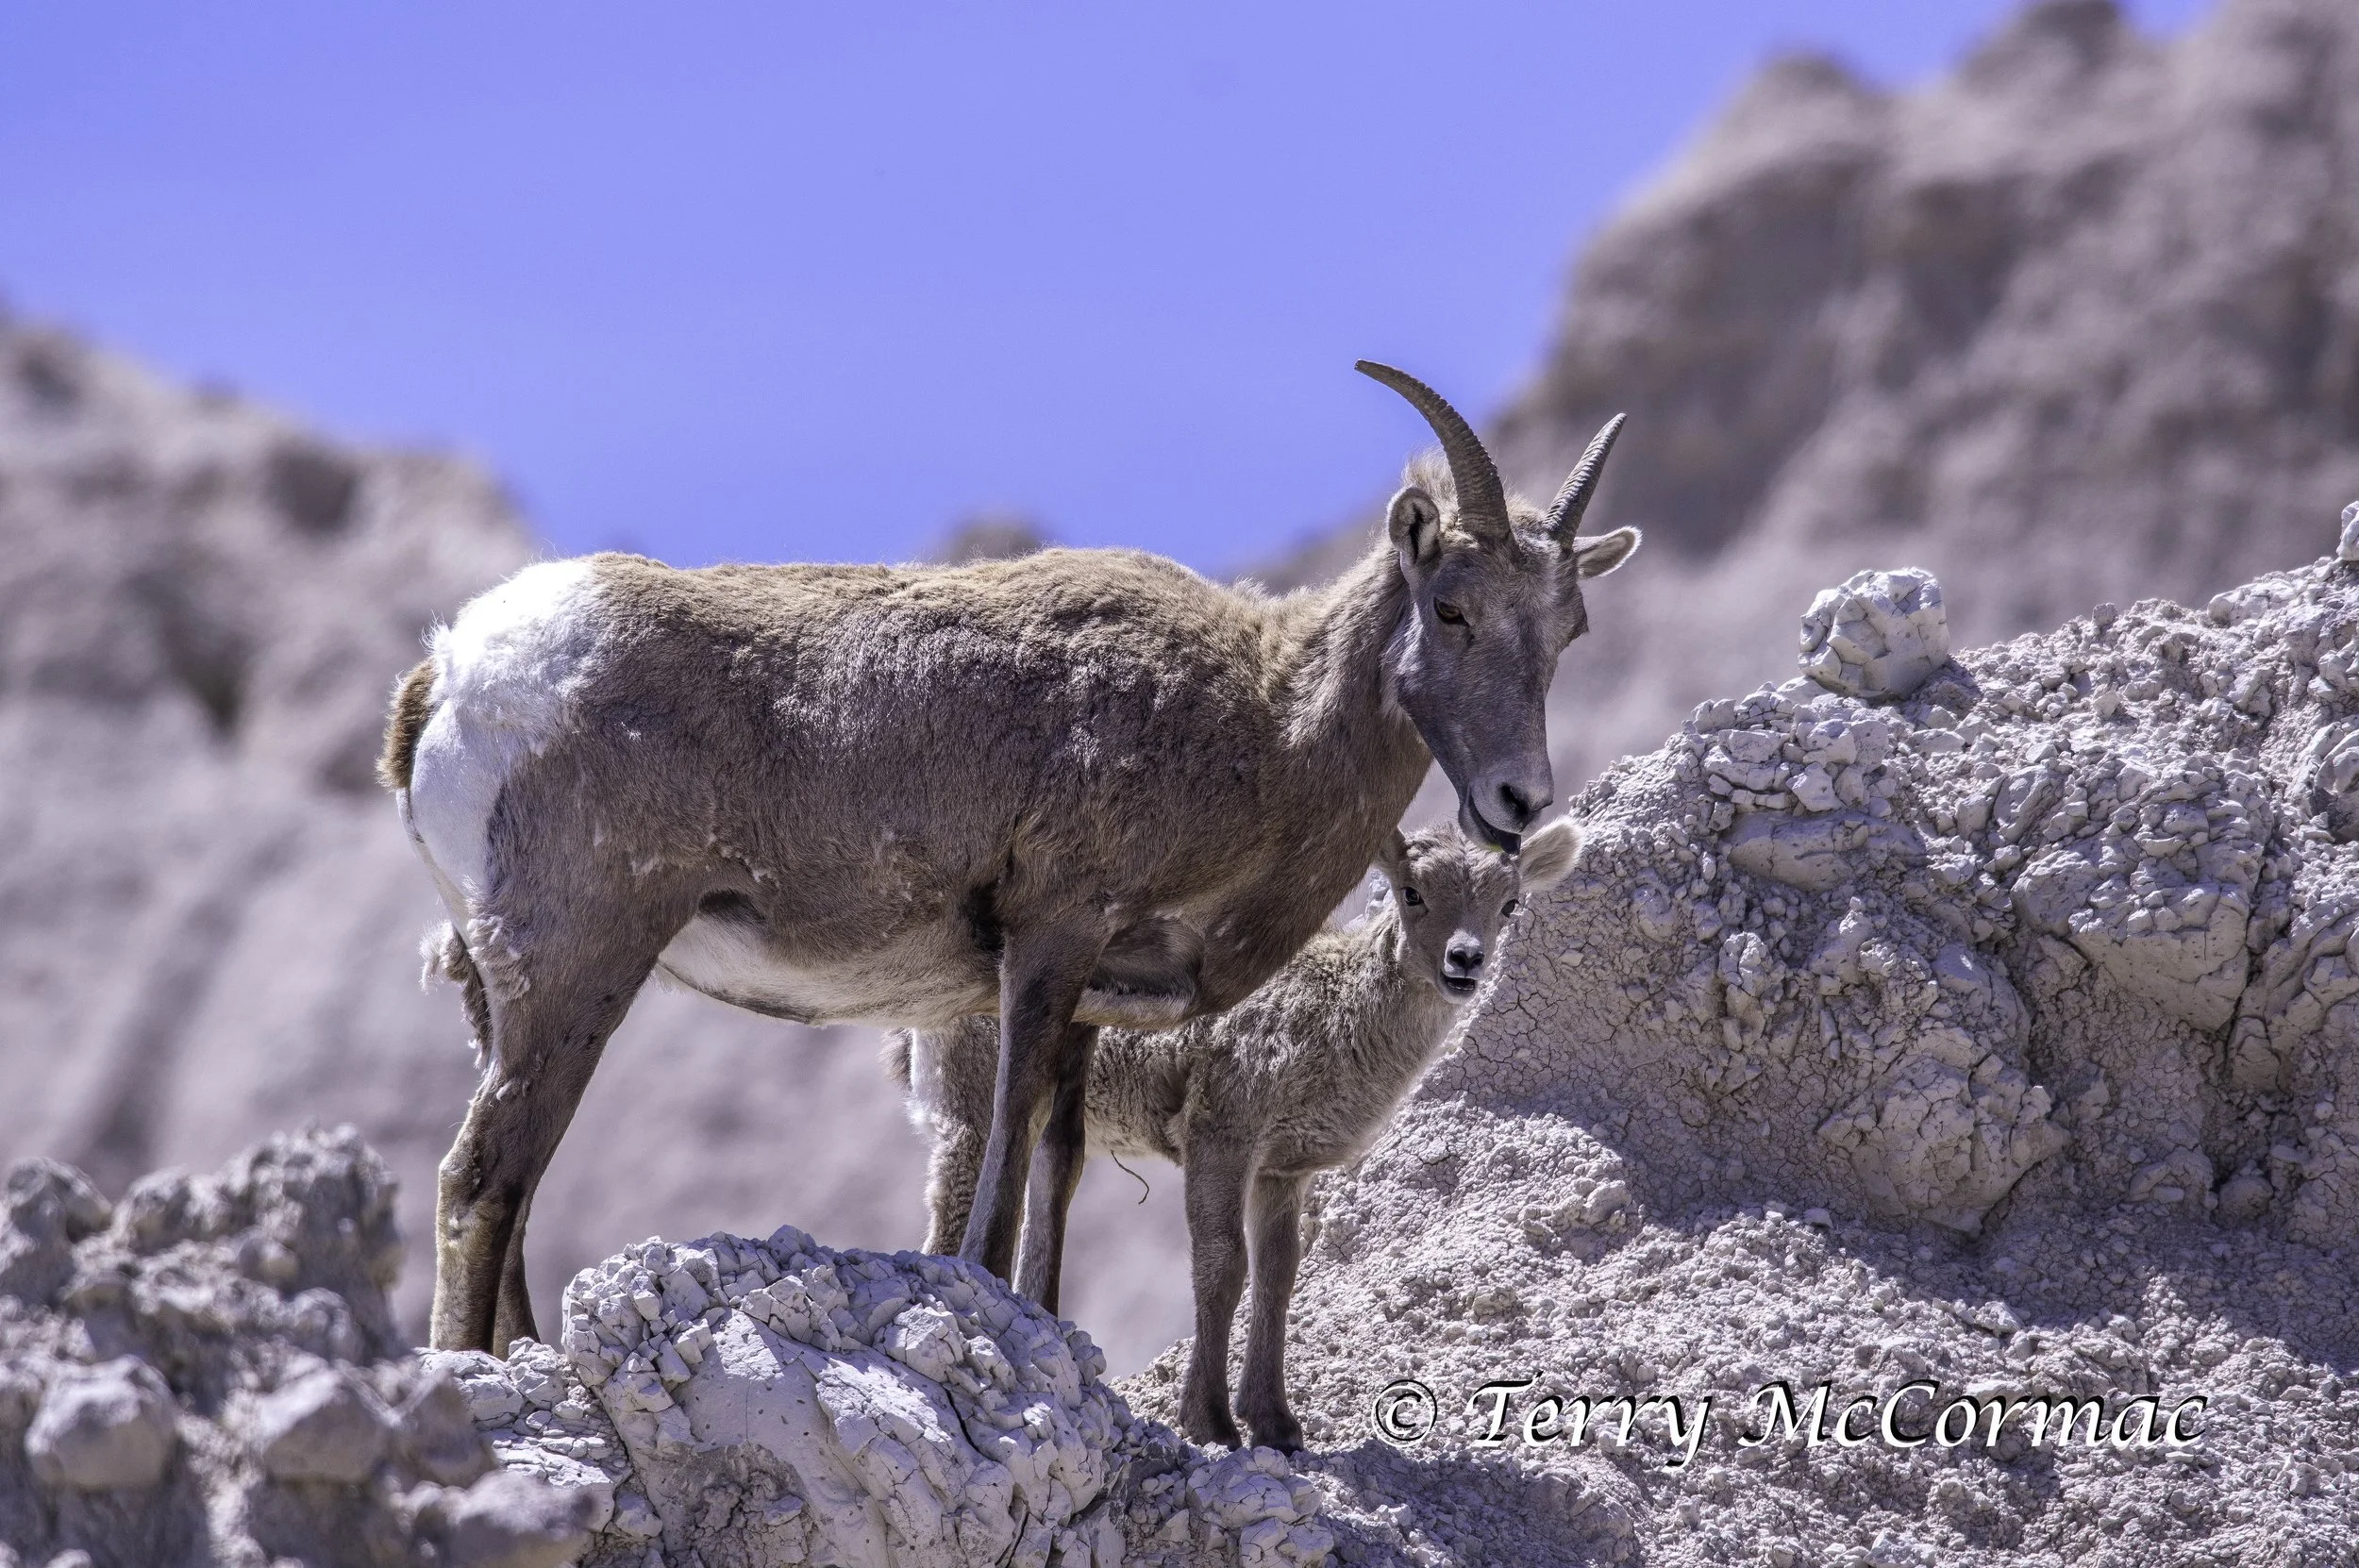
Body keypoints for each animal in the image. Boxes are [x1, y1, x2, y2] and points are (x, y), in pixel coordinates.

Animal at [381, 360, 1637, 1353]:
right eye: (1453, 607)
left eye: (1569, 628)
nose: (1517, 800)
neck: (1261, 723)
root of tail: (453, 671)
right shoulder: (1047, 946)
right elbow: (999, 1181)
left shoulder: (1091, 998)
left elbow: (1059, 1166)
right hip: (576, 968)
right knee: (482, 1177)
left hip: (505, 990)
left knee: (515, 1186)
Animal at [892, 816, 1583, 1451]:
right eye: (1411, 891)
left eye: (1509, 902)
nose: (1464, 960)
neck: (1337, 1018)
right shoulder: (1223, 1132)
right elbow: (1224, 1264)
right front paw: (1213, 1423)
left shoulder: (1282, 1169)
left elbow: (1279, 1273)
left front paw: (1278, 1424)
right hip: (972, 1109)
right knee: (956, 1216)